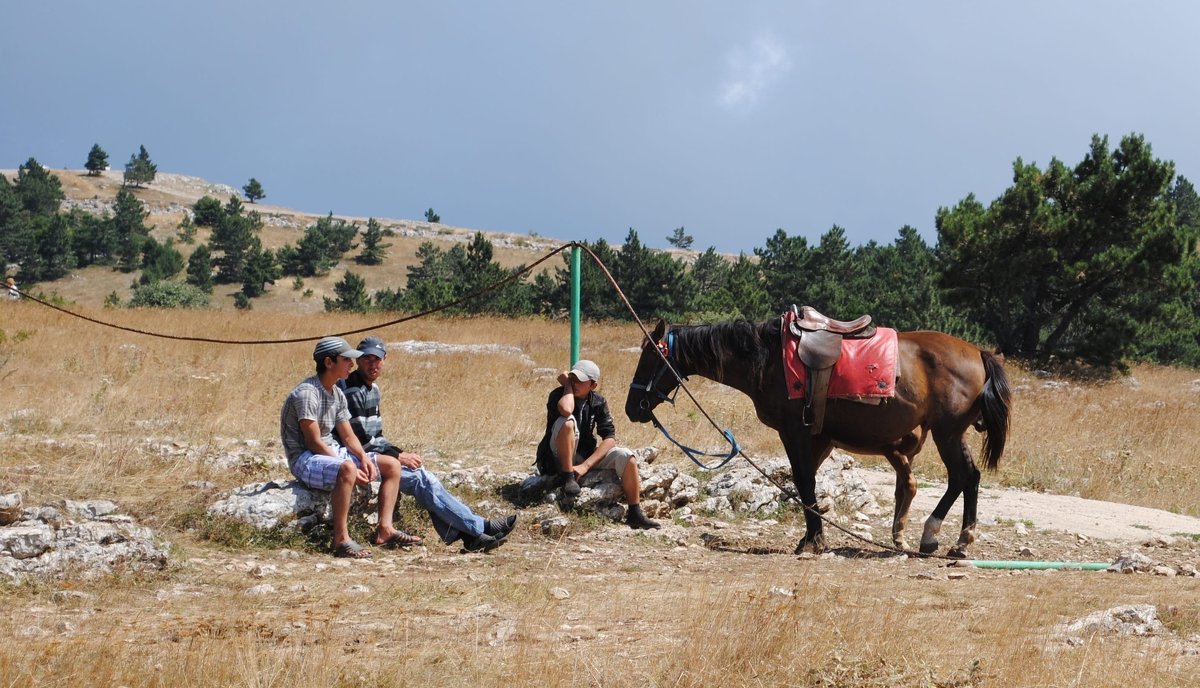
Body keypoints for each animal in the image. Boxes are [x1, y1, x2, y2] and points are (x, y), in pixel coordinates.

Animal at [628, 316, 1012, 557]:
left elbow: (804, 481)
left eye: (649, 358)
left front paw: (813, 541)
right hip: (952, 434)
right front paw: (813, 536)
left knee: (961, 476)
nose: (634, 407)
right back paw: (959, 541)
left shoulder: (794, 432)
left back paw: (933, 536)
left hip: (947, 433)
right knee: (969, 477)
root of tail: (979, 354)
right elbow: (806, 483)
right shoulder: (820, 438)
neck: (769, 360)